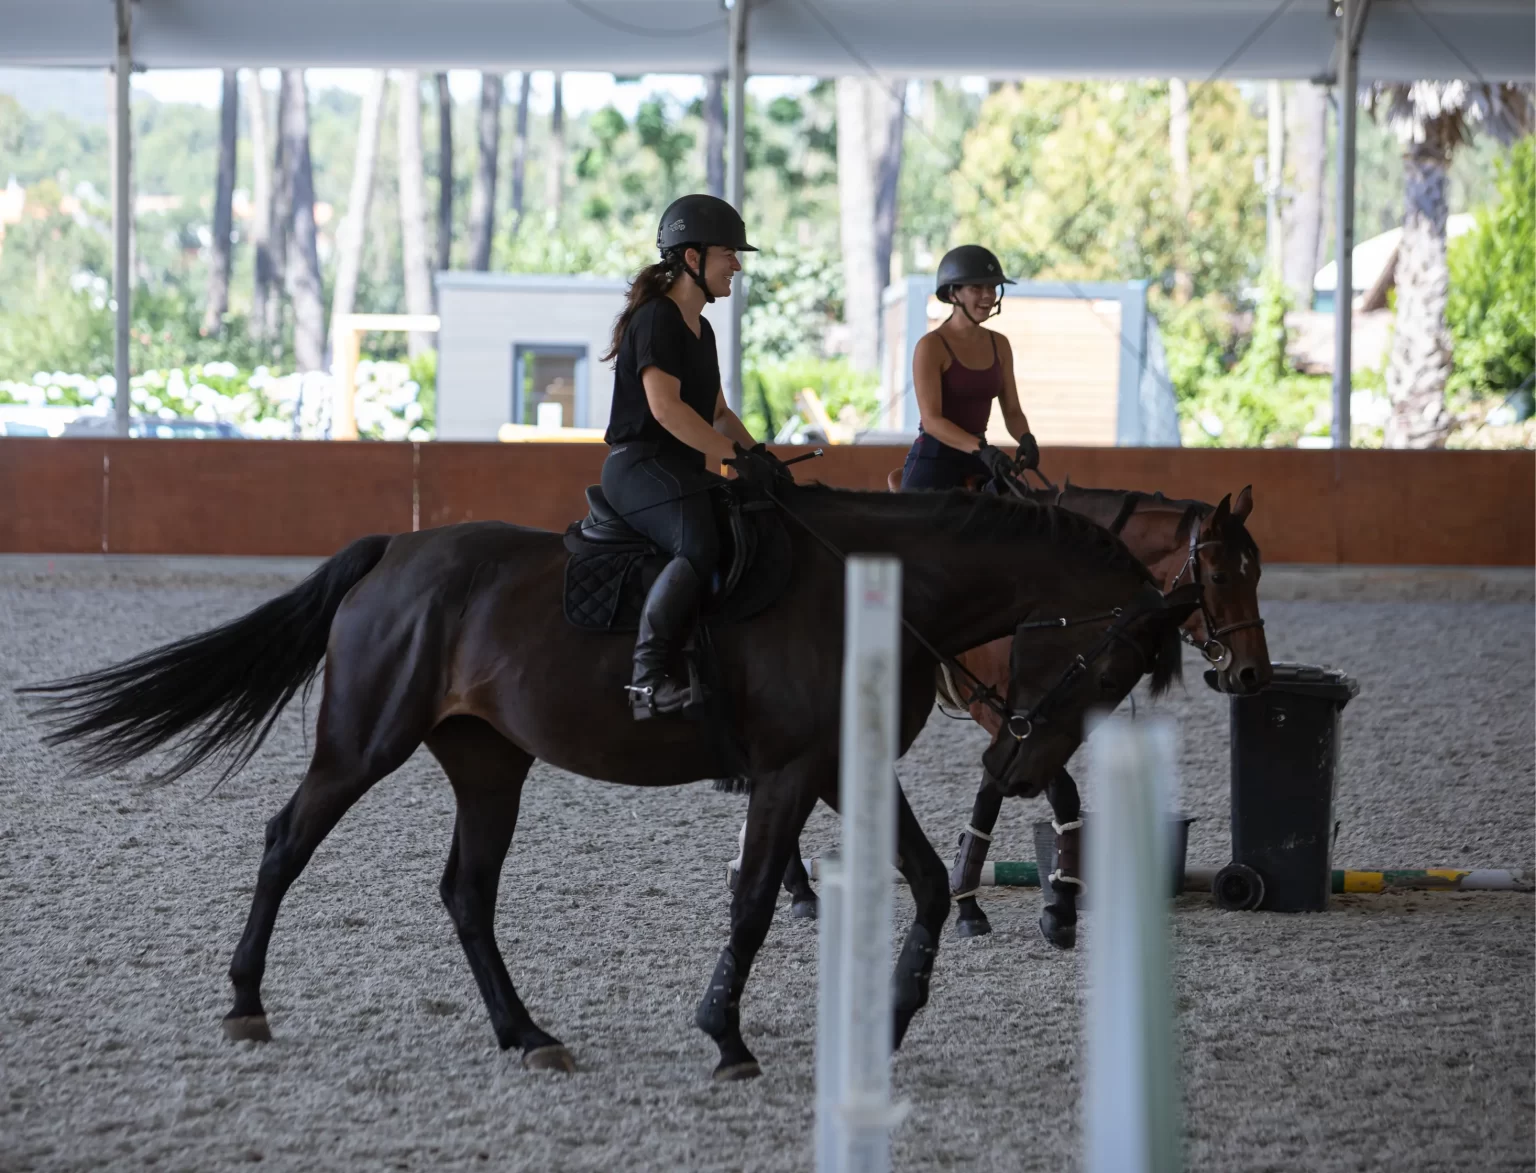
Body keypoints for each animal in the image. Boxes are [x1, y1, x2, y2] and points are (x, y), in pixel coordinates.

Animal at [18, 482, 1199, 1082]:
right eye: (1111, 664)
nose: (1021, 767)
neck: (870, 587)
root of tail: (394, 553)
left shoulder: (836, 764)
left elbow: (918, 884)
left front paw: (892, 1016)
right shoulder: (787, 773)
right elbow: (754, 900)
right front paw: (725, 1035)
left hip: (488, 762)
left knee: (466, 891)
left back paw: (525, 1033)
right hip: (363, 743)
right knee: (285, 844)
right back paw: (246, 1002)